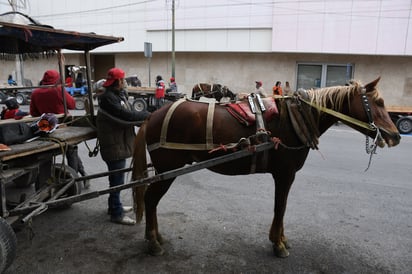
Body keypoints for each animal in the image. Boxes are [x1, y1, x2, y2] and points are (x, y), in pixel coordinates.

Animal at [132, 77, 400, 260]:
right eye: (378, 102)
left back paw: (155, 236)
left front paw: (281, 239)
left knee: (150, 201)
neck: (296, 118)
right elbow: (280, 207)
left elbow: (281, 207)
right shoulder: (285, 174)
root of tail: (152, 115)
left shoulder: (284, 175)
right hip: (168, 169)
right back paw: (153, 241)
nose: (396, 135)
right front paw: (278, 244)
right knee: (150, 200)